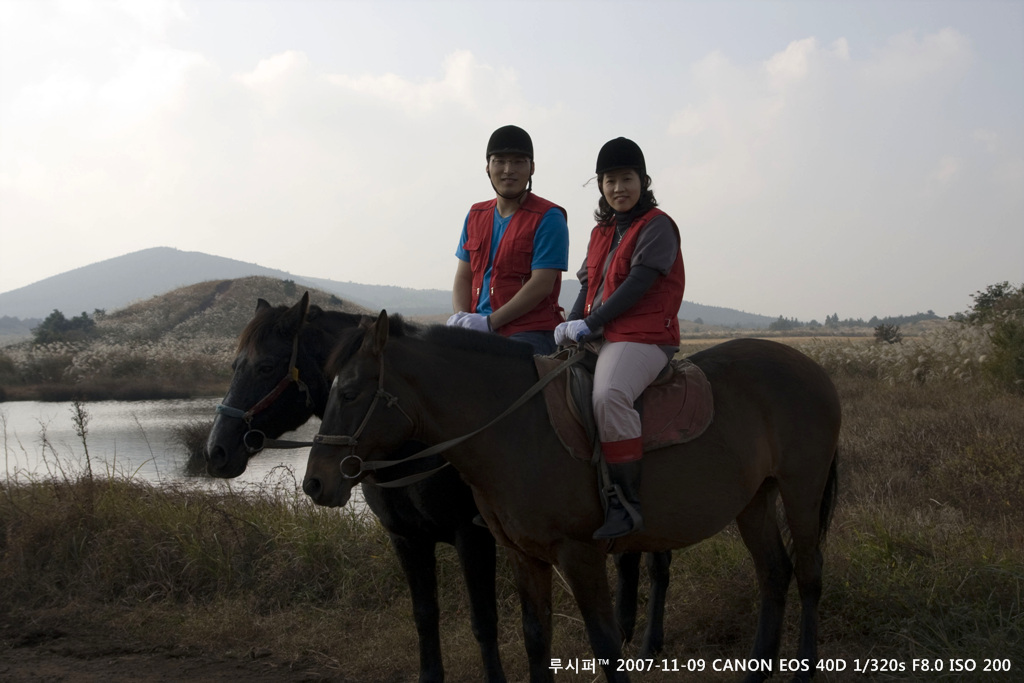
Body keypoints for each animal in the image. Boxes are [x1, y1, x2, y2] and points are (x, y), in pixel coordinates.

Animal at [303, 313, 839, 683]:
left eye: (350, 392)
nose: (314, 483)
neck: (516, 425)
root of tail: (813, 368)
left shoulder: (579, 555)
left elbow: (605, 645)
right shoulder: (525, 556)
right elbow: (536, 639)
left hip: (802, 488)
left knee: (809, 573)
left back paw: (805, 667)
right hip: (754, 500)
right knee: (774, 574)